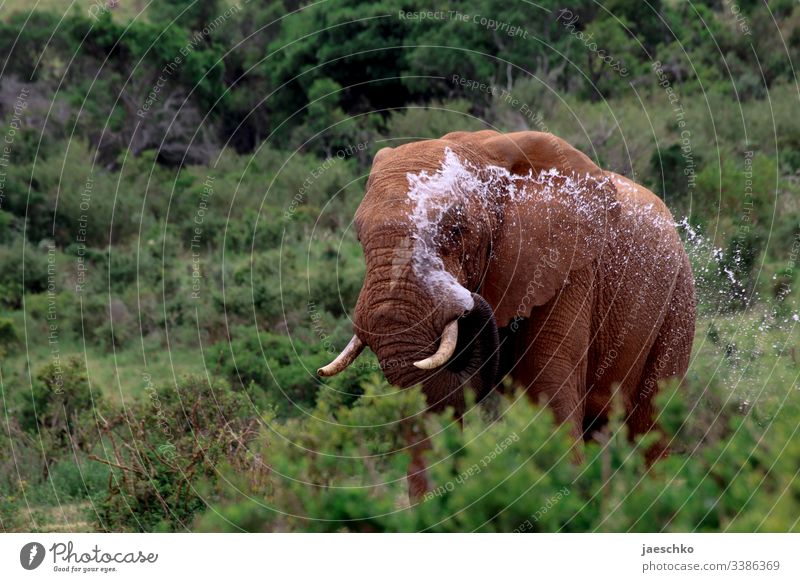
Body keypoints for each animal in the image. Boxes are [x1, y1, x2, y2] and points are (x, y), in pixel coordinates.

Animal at [318, 131, 692, 498]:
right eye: (359, 237)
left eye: (456, 231)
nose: (467, 301)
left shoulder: (566, 270)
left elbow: (548, 393)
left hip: (677, 300)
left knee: (653, 425)